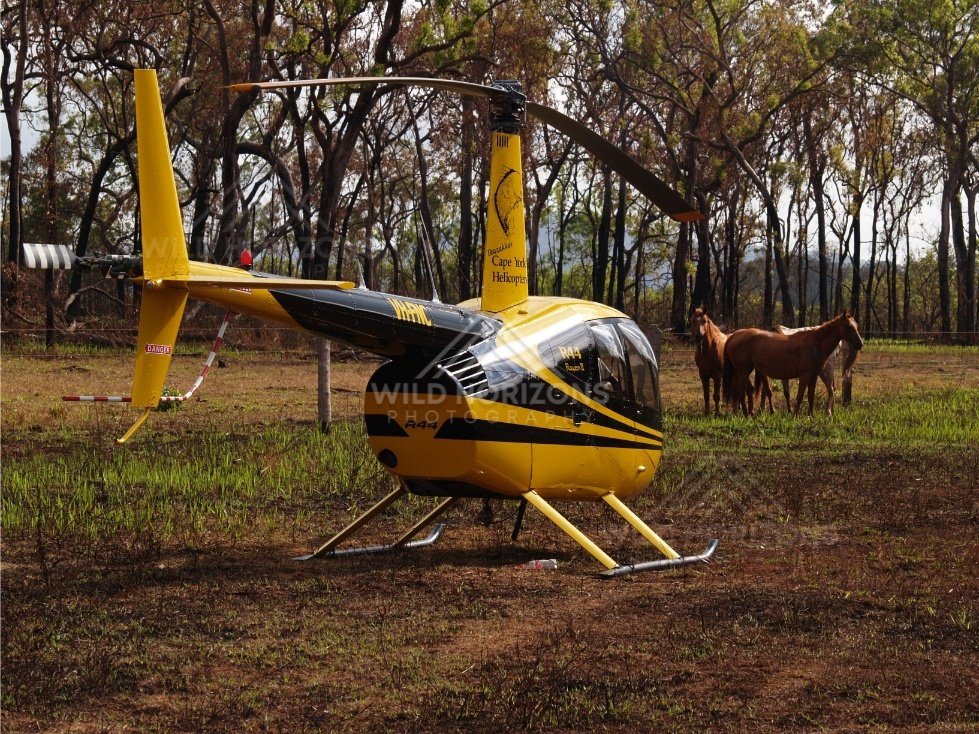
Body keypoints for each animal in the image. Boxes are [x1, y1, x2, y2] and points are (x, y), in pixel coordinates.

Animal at [723, 312, 863, 416]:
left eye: (856, 325)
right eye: (848, 326)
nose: (860, 344)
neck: (815, 343)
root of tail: (733, 336)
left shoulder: (813, 376)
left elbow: (810, 396)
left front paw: (810, 416)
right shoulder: (804, 375)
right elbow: (799, 396)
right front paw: (795, 415)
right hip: (743, 371)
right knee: (741, 392)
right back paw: (746, 414)